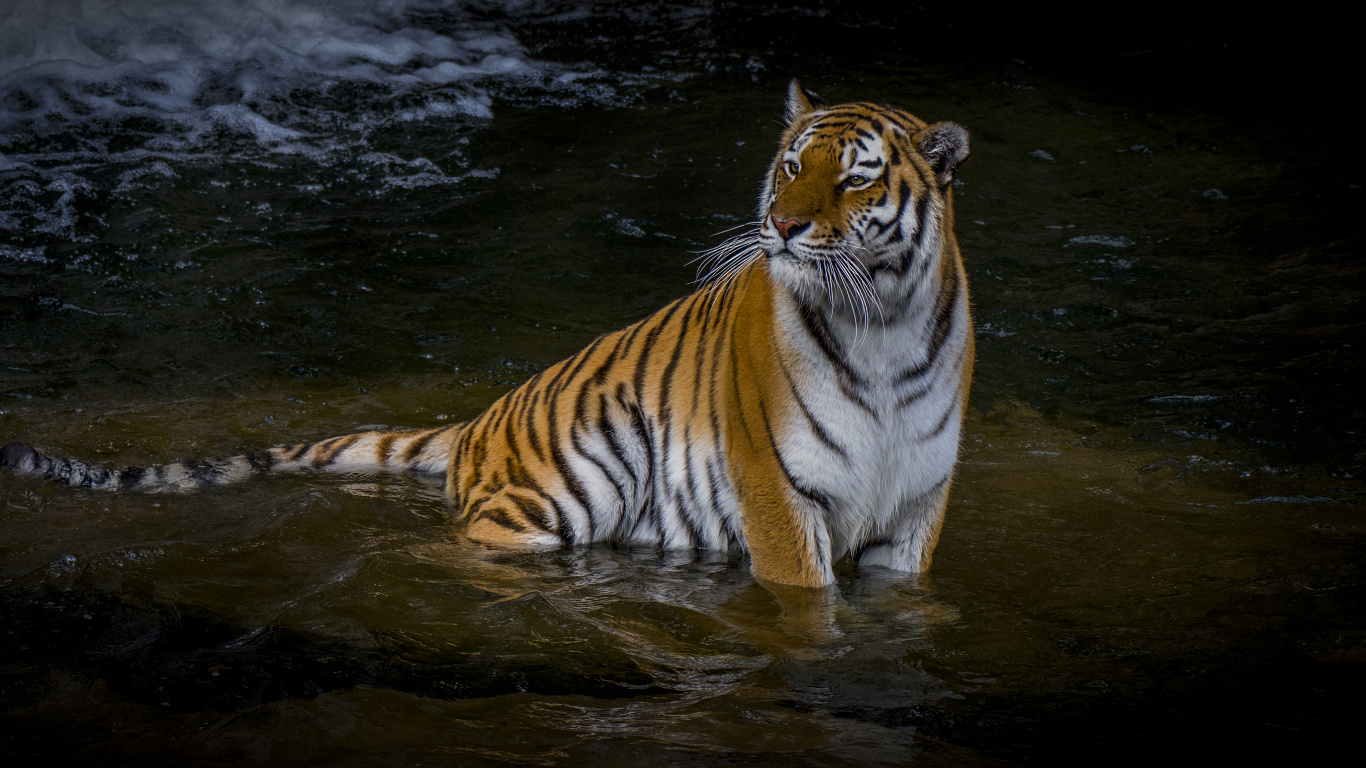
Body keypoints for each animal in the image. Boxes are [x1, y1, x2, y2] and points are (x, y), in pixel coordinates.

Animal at [1, 80, 974, 589]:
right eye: (790, 164)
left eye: (853, 179)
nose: (781, 224)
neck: (880, 324)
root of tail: (478, 420)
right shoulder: (778, 496)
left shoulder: (916, 509)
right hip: (569, 491)